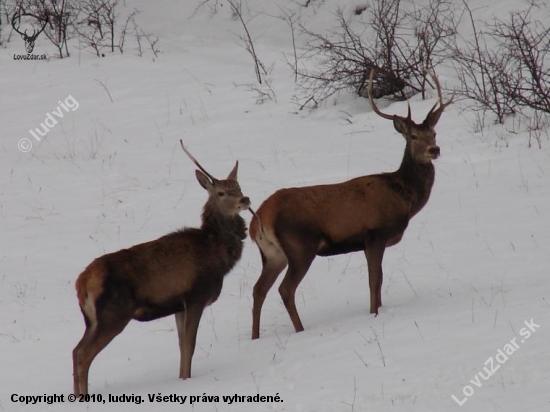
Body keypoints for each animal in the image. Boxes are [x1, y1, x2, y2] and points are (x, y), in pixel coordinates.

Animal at [73, 142, 252, 396]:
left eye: (238, 186)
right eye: (221, 193)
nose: (245, 199)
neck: (216, 255)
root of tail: (83, 282)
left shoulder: (178, 305)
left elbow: (181, 345)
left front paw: (182, 378)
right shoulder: (196, 296)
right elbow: (190, 344)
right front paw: (188, 379)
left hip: (91, 319)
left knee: (75, 350)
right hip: (113, 313)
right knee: (83, 354)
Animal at [252, 71, 454, 338]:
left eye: (434, 133)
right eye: (413, 136)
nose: (434, 149)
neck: (403, 197)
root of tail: (260, 218)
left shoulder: (369, 242)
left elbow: (379, 279)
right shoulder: (375, 234)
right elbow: (374, 280)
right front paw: (374, 313)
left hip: (273, 254)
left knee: (258, 289)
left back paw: (255, 337)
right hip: (300, 246)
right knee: (285, 289)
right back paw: (300, 330)